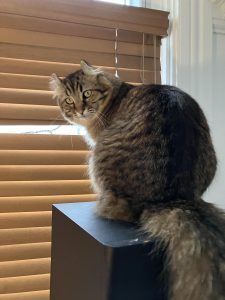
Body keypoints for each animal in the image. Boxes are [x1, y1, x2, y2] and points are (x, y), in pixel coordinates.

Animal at [50, 59, 225, 298]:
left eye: (86, 94)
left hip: (96, 161)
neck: (115, 96)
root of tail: (171, 198)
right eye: (68, 100)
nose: (79, 110)